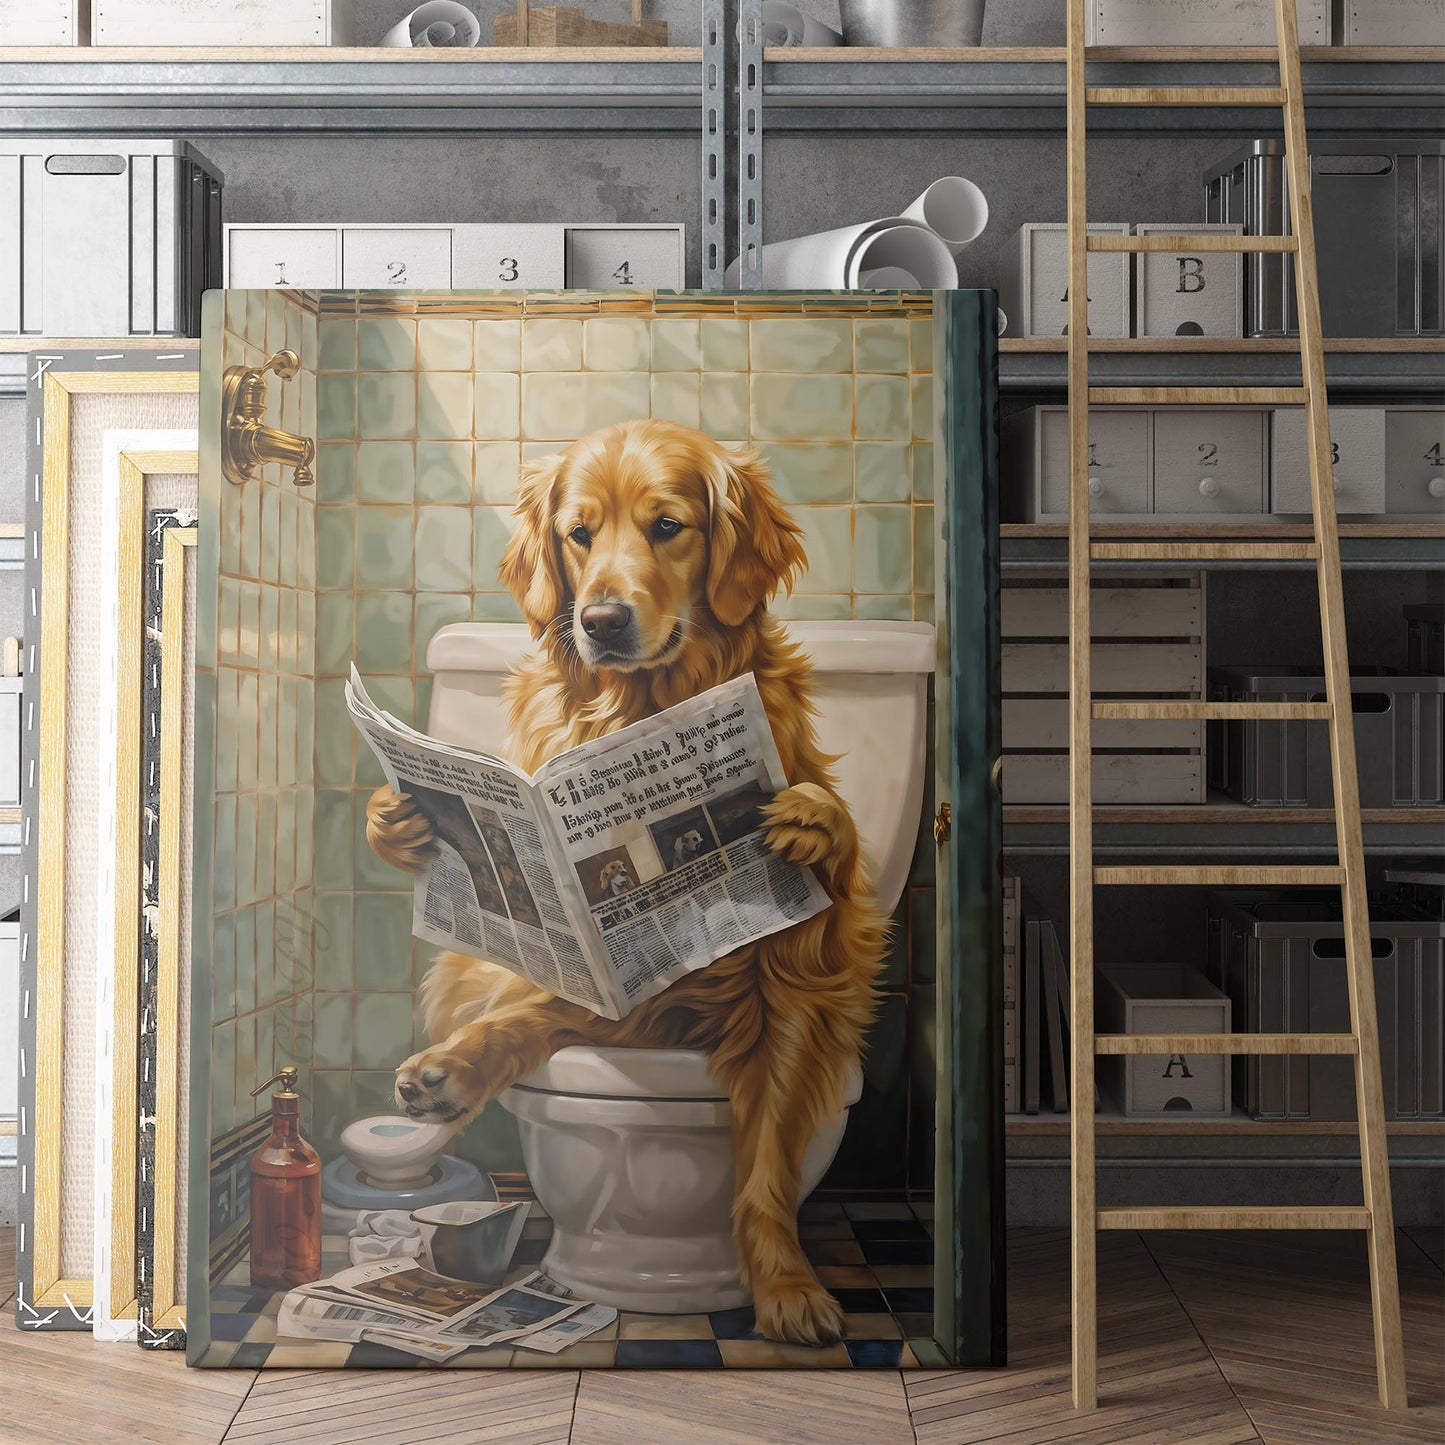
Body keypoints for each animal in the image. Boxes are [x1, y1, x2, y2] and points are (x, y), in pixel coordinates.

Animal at [369, 416, 890, 1340]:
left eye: (668, 526)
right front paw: (398, 820)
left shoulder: (791, 982)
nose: (602, 619)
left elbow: (767, 1160)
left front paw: (786, 1286)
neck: (643, 710)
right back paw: (447, 1071)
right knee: (534, 1011)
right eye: (579, 533)